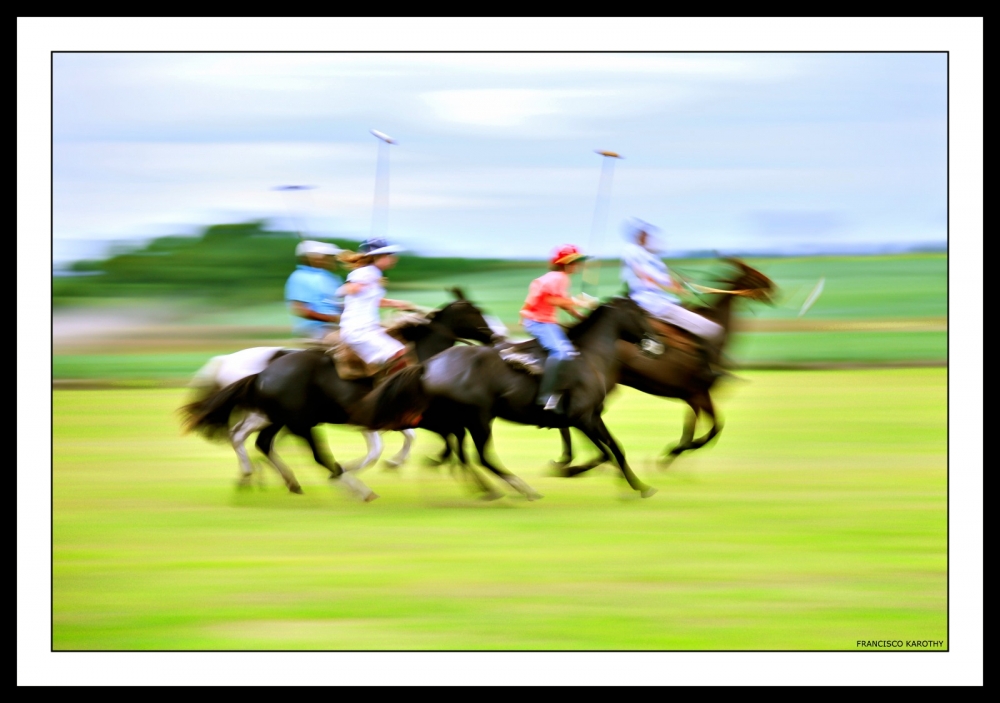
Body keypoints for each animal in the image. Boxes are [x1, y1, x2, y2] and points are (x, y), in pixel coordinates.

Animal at [552, 258, 776, 472]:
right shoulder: (700, 393)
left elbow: (692, 429)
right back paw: (577, 460)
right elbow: (714, 429)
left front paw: (672, 456)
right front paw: (672, 453)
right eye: (753, 273)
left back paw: (573, 460)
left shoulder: (692, 397)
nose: (772, 287)